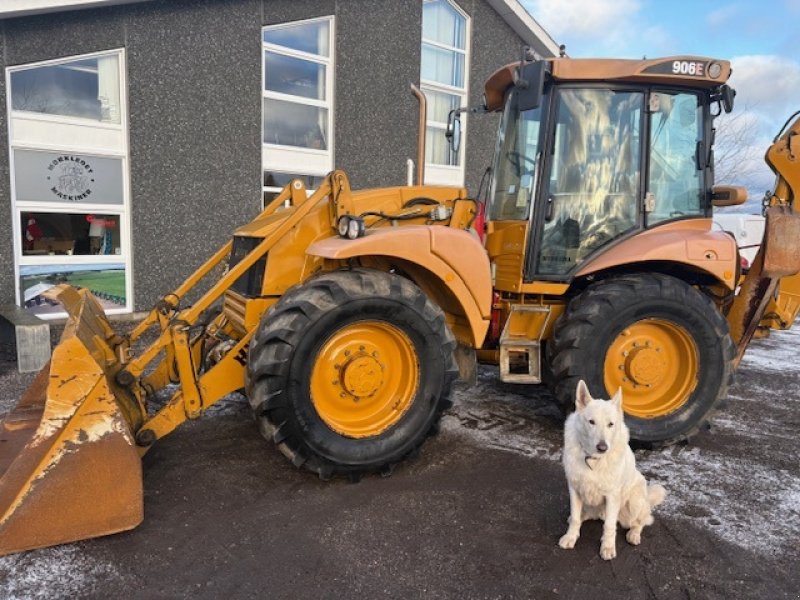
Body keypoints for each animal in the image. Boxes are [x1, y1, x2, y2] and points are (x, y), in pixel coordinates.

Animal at [560, 382, 664, 560]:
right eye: (591, 422)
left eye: (611, 424)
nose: (602, 447)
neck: (593, 459)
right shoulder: (574, 489)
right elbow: (575, 518)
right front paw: (571, 537)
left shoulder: (612, 495)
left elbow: (609, 526)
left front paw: (607, 547)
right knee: (584, 515)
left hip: (634, 503)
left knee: (642, 521)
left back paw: (634, 534)